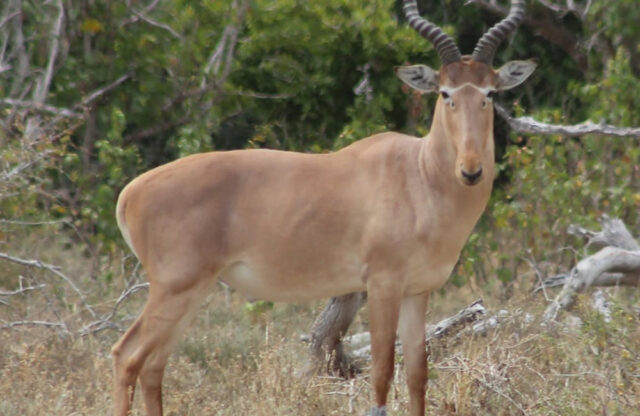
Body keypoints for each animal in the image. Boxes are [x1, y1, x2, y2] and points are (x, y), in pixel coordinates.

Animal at [111, 0, 536, 415]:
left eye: (490, 92)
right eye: (445, 93)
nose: (471, 170)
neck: (418, 171)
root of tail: (130, 192)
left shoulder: (417, 291)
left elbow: (417, 376)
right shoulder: (382, 284)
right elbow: (381, 373)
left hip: (194, 293)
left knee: (153, 365)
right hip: (173, 288)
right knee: (126, 355)